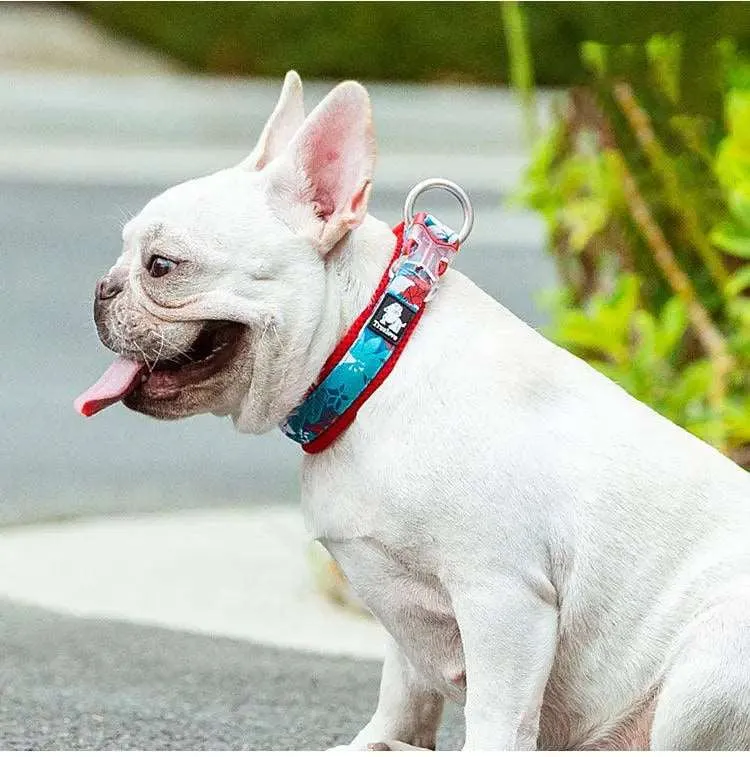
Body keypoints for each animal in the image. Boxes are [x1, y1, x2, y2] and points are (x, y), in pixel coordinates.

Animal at [76, 74, 750, 748]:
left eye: (161, 266)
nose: (102, 288)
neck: (369, 360)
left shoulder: (503, 598)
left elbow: (497, 715)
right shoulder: (404, 608)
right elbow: (404, 688)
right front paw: (379, 740)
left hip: (709, 666)